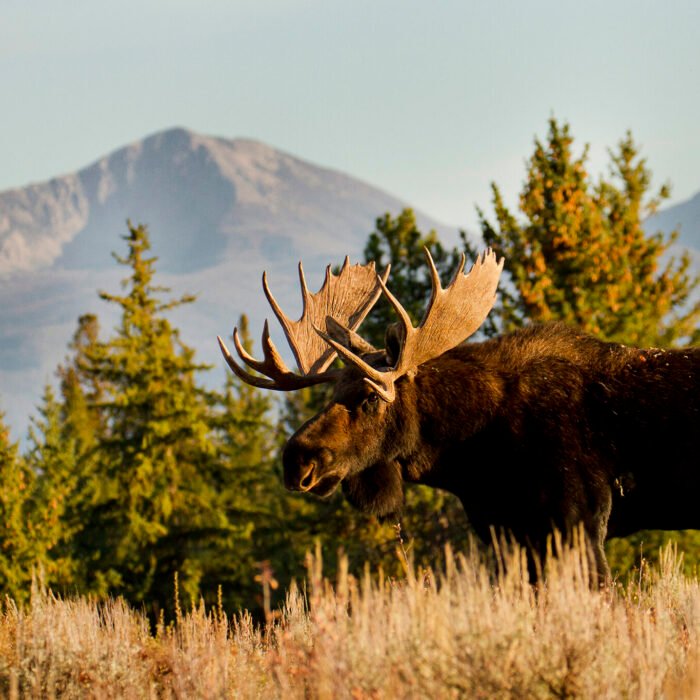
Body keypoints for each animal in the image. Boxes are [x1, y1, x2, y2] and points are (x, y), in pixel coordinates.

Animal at [218, 250, 700, 582]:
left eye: (371, 398)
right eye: (332, 392)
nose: (296, 459)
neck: (474, 456)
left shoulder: (580, 521)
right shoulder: (509, 532)